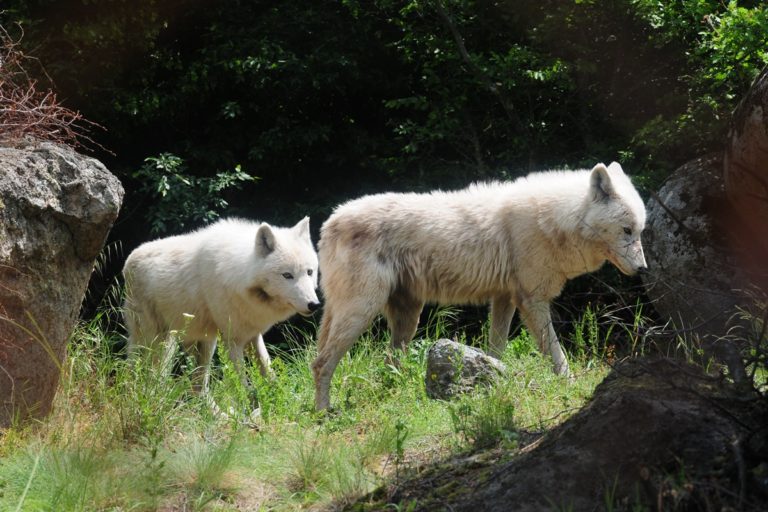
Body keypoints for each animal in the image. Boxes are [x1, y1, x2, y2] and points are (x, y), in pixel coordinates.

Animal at [124, 217, 320, 392]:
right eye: (287, 275)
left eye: (309, 272)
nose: (314, 305)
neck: (238, 273)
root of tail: (129, 259)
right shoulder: (232, 341)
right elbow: (242, 386)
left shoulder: (252, 335)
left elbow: (269, 373)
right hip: (157, 341)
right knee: (147, 374)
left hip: (202, 342)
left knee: (198, 387)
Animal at [312, 162, 648, 410]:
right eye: (627, 230)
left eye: (640, 230)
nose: (643, 269)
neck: (556, 218)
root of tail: (329, 223)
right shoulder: (533, 300)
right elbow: (556, 352)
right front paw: (569, 383)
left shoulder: (505, 299)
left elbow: (496, 349)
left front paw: (494, 379)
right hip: (363, 311)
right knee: (321, 363)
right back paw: (323, 413)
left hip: (406, 318)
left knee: (387, 363)